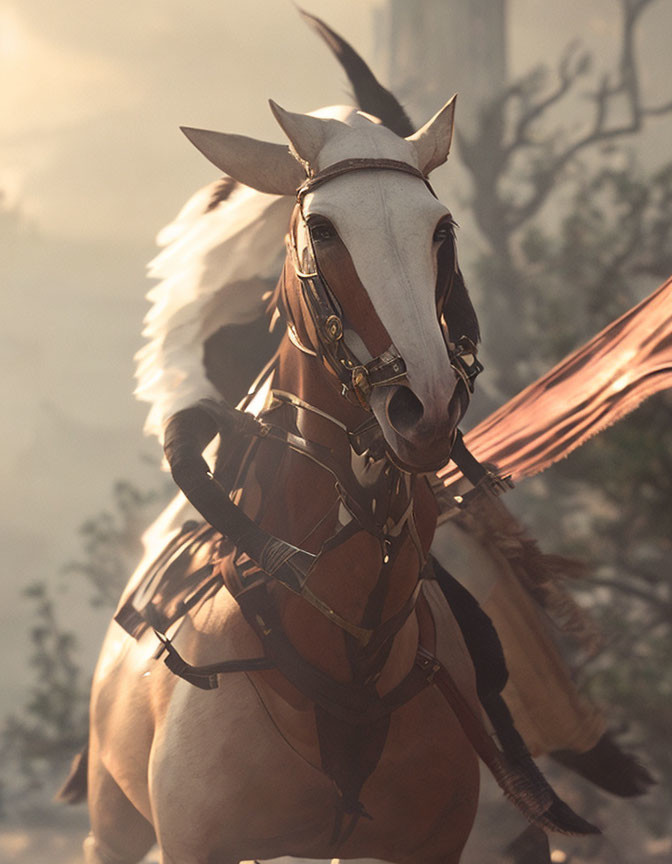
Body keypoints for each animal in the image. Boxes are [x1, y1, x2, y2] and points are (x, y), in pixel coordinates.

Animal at [67, 11, 604, 864]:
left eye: (441, 230)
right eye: (322, 229)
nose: (423, 405)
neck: (341, 653)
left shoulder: (434, 845)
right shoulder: (200, 843)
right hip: (111, 824)